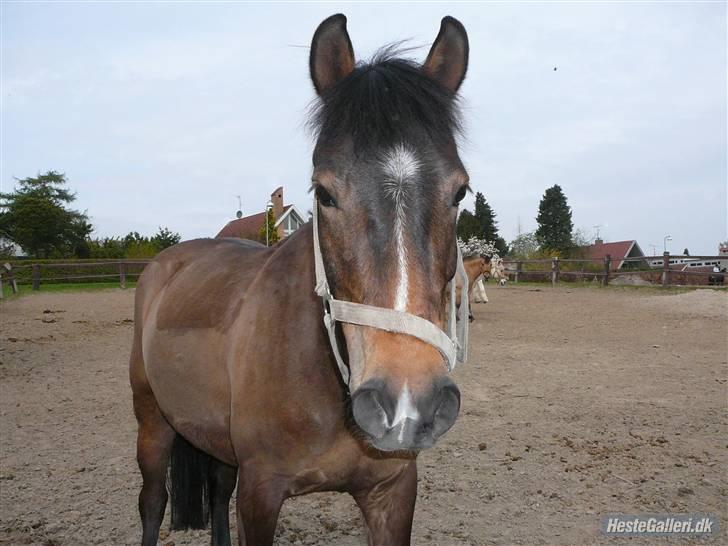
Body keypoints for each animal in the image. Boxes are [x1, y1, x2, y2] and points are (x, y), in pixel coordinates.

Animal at [129, 13, 472, 544]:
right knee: (153, 502)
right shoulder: (261, 493)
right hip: (152, 422)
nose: (406, 402)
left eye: (459, 192)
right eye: (324, 193)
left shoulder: (392, 492)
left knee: (218, 489)